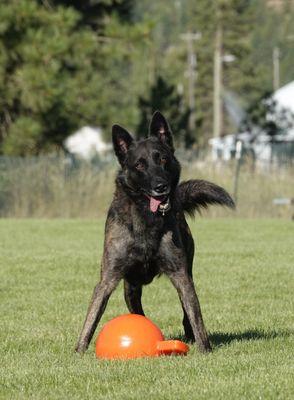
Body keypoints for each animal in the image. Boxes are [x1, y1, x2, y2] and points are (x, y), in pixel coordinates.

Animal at [76, 110, 234, 354]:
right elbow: (92, 316)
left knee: (186, 310)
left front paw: (204, 349)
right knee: (138, 312)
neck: (145, 220)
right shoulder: (108, 278)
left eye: (162, 159)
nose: (161, 187)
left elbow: (195, 314)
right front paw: (79, 350)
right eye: (139, 165)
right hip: (130, 288)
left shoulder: (180, 274)